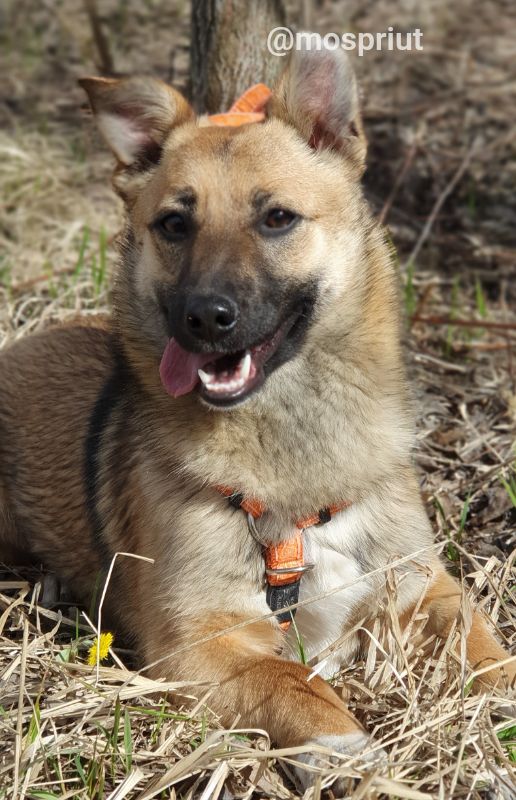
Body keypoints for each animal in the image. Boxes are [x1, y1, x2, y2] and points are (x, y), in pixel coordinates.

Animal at [0, 43, 512, 788]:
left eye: (277, 219)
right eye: (174, 224)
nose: (204, 318)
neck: (289, 440)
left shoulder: (427, 590)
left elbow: (485, 650)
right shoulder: (197, 645)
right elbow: (292, 682)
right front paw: (350, 752)